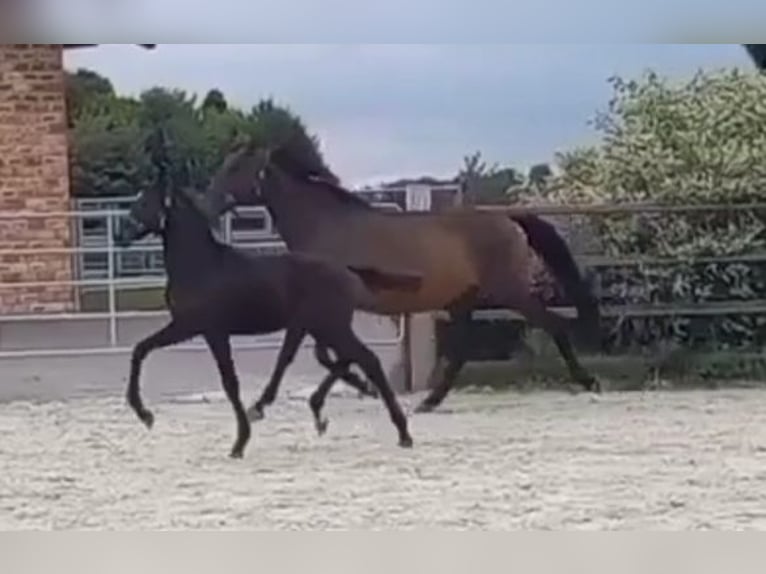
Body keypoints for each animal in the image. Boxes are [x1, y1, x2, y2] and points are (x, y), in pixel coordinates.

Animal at [115, 179, 420, 460]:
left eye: (145, 202)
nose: (121, 234)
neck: (202, 266)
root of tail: (346, 270)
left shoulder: (204, 329)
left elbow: (229, 383)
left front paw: (239, 443)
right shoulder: (191, 328)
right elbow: (140, 349)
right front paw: (145, 415)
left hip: (330, 326)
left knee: (367, 359)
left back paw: (403, 432)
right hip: (322, 327)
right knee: (345, 358)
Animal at [195, 142, 604, 416]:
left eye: (236, 168)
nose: (206, 206)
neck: (326, 226)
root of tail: (506, 218)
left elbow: (322, 354)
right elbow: (325, 355)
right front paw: (364, 387)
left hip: (509, 292)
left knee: (553, 325)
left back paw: (589, 382)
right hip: (465, 300)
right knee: (460, 352)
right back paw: (429, 402)